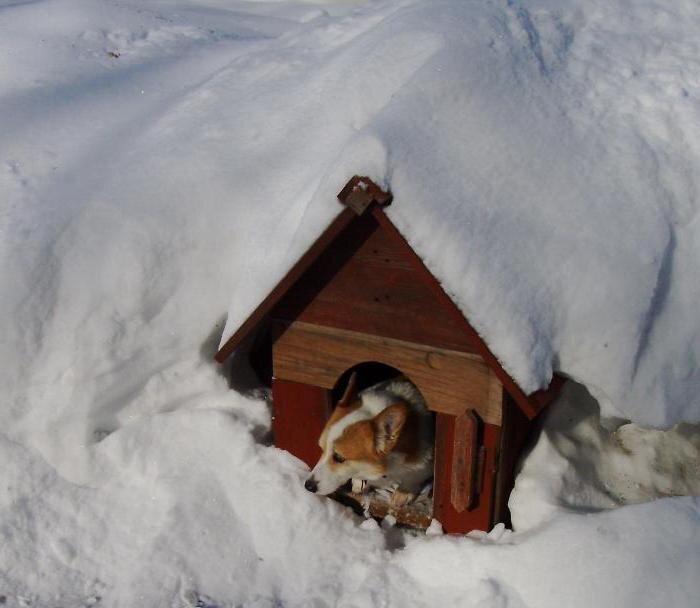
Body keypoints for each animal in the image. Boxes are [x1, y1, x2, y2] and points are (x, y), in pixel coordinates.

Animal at [304, 372, 434, 506]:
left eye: (339, 457)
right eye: (322, 449)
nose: (308, 486)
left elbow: (415, 476)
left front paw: (403, 492)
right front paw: (358, 481)